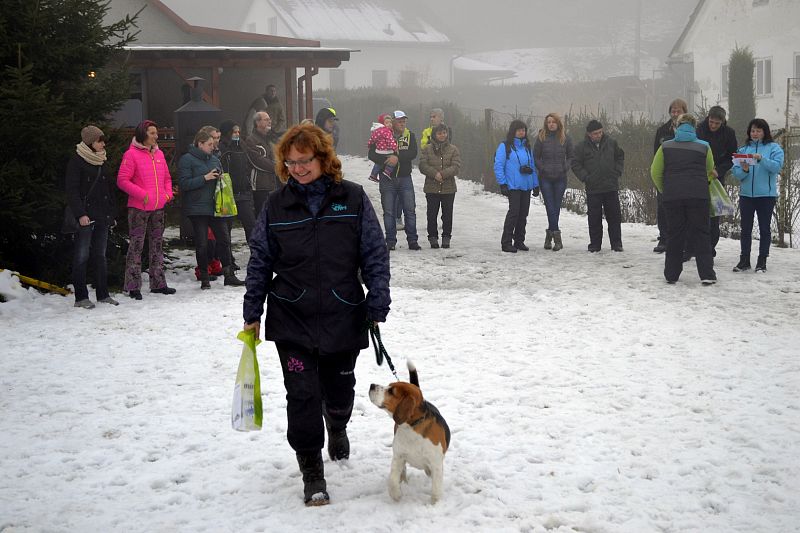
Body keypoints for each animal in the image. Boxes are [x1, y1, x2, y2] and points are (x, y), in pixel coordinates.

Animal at [368, 360, 450, 500]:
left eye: (391, 391)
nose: (371, 385)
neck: (410, 428)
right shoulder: (398, 457)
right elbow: (392, 480)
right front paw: (396, 495)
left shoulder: (436, 464)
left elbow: (435, 490)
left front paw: (435, 503)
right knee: (404, 471)